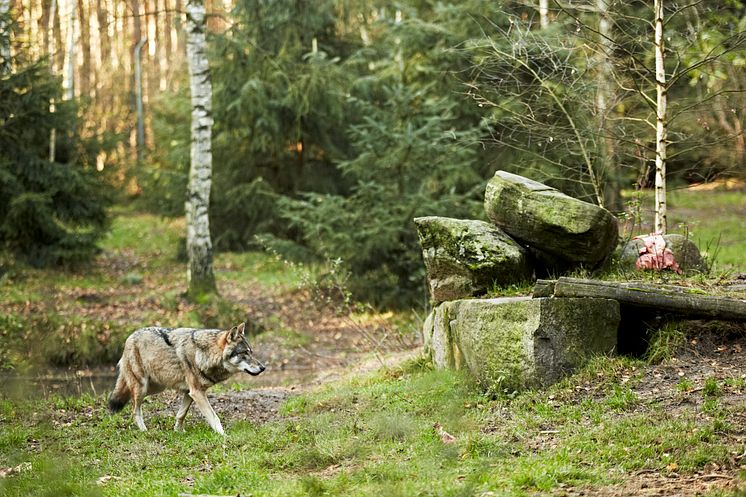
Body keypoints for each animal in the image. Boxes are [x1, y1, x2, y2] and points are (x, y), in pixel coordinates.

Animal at [107, 322, 264, 434]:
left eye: (251, 352)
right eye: (244, 353)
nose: (263, 368)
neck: (204, 353)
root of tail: (129, 337)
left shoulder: (189, 392)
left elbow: (181, 414)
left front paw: (178, 431)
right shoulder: (197, 392)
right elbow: (214, 418)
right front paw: (224, 436)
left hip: (155, 387)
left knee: (129, 398)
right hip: (142, 387)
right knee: (135, 409)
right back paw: (144, 431)